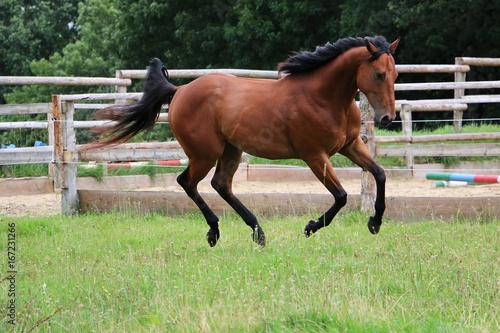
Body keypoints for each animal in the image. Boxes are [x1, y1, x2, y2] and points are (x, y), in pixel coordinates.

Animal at [93, 36, 398, 246]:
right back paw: (215, 231)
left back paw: (257, 233)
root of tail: (179, 90)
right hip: (205, 153)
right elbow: (341, 195)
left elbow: (380, 174)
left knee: (220, 185)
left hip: (231, 151)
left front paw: (375, 222)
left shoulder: (351, 145)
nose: (387, 118)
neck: (323, 97)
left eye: (395, 74)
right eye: (378, 74)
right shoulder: (314, 155)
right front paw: (311, 226)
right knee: (187, 182)